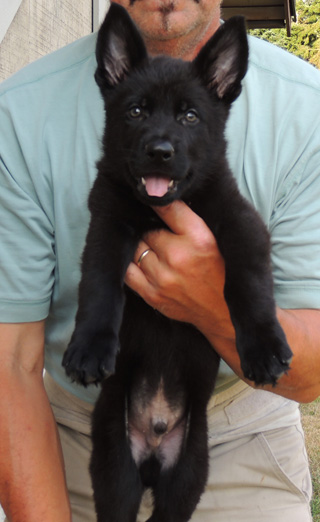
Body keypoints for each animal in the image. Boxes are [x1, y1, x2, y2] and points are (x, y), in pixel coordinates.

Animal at [62, 5, 292, 520]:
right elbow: (98, 285)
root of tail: (156, 434)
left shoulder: (239, 221)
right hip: (115, 473)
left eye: (190, 116)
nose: (160, 152)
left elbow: (249, 282)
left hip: (189, 473)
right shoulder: (107, 224)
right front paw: (89, 347)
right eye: (136, 111)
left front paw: (264, 348)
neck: (160, 209)